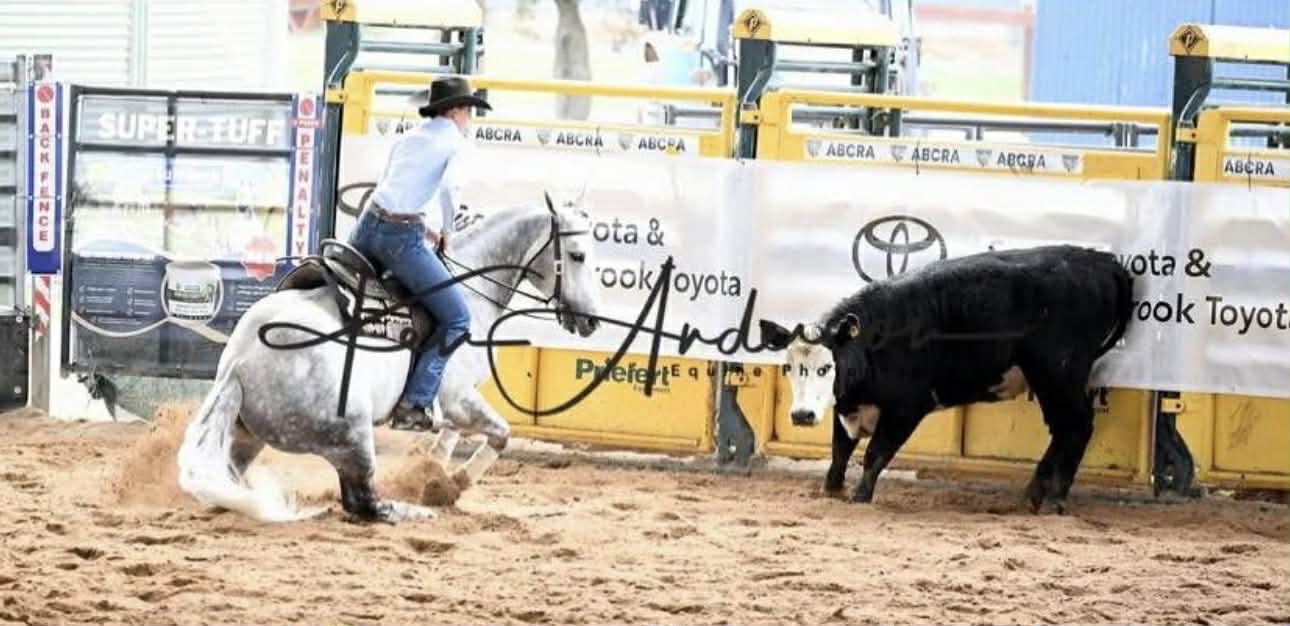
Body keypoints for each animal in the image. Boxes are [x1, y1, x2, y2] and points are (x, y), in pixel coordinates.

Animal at [175, 193, 602, 523]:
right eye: (578, 255)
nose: (591, 321)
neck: (471, 288)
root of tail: (238, 364)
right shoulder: (457, 397)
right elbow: (500, 433)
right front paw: (451, 485)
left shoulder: (454, 404)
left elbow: (450, 436)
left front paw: (432, 474)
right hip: (352, 432)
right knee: (362, 502)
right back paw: (415, 511)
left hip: (246, 437)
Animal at [759, 244, 1134, 513]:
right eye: (789, 366)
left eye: (826, 367)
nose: (802, 415)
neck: (876, 338)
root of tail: (1102, 262)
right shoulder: (846, 405)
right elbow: (839, 452)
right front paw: (831, 491)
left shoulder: (905, 408)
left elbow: (875, 453)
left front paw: (860, 496)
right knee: (1063, 430)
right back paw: (1033, 495)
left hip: (1059, 373)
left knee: (1076, 426)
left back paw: (1053, 498)